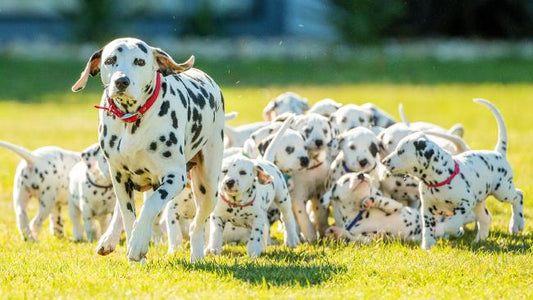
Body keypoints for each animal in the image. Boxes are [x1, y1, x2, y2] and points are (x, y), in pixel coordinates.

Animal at [71, 37, 224, 262]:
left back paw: (197, 255)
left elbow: (151, 205)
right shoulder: (119, 177)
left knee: (196, 225)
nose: (121, 81)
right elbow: (127, 216)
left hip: (208, 187)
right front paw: (134, 249)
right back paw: (109, 239)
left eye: (140, 62)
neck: (132, 121)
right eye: (110, 60)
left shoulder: (174, 177)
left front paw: (138, 243)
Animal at [206, 118, 300, 256]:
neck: (236, 203)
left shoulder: (258, 219)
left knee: (287, 217)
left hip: (283, 198)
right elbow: (215, 234)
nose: (229, 182)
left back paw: (291, 239)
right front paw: (213, 248)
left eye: (242, 172)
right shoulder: (217, 216)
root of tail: (266, 161)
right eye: (224, 171)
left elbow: (255, 235)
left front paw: (253, 250)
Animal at [382, 99, 524, 250]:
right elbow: (427, 229)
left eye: (401, 151)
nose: (384, 161)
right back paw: (479, 240)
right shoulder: (427, 209)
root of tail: (498, 153)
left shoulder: (465, 204)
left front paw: (457, 232)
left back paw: (516, 223)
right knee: (486, 218)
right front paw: (427, 246)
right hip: (479, 202)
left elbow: (451, 224)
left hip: (502, 190)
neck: (437, 180)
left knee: (518, 195)